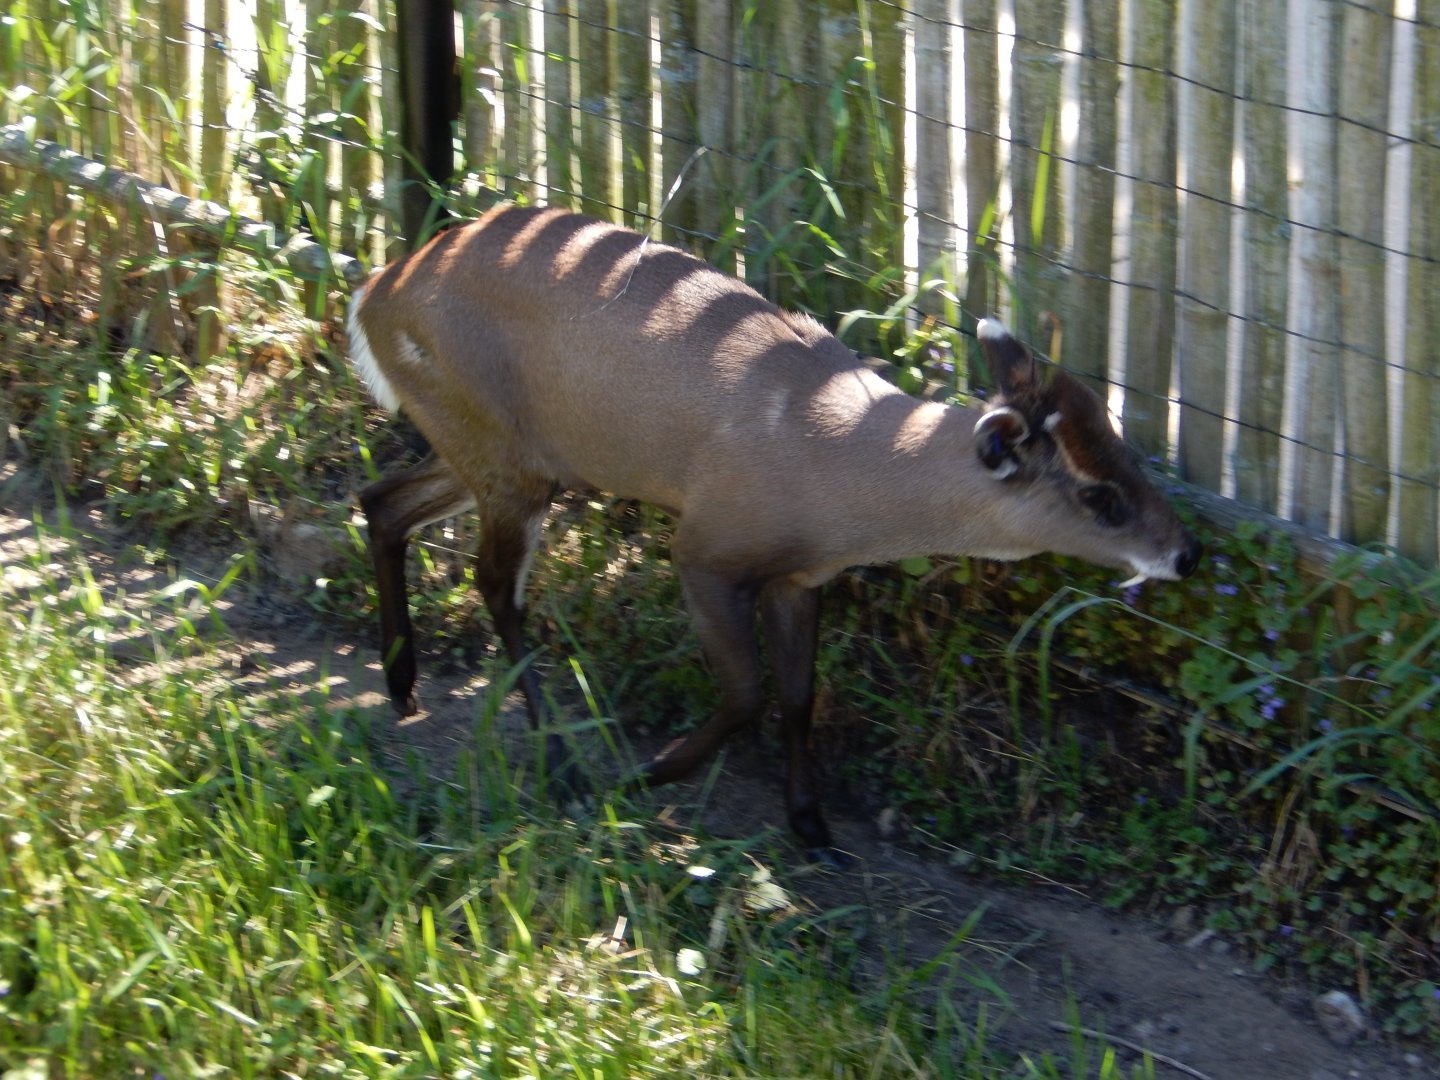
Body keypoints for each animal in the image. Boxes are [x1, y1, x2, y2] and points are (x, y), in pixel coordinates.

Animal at [346, 204, 1202, 857]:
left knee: (380, 499)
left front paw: (811, 823)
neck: (832, 464)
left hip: (492, 446)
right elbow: (749, 692)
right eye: (1100, 496)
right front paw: (649, 773)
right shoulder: (705, 550)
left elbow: (797, 694)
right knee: (495, 585)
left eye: (1127, 449)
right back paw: (556, 759)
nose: (1187, 553)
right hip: (503, 454)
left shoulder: (799, 576)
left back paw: (403, 684)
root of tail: (375, 292)